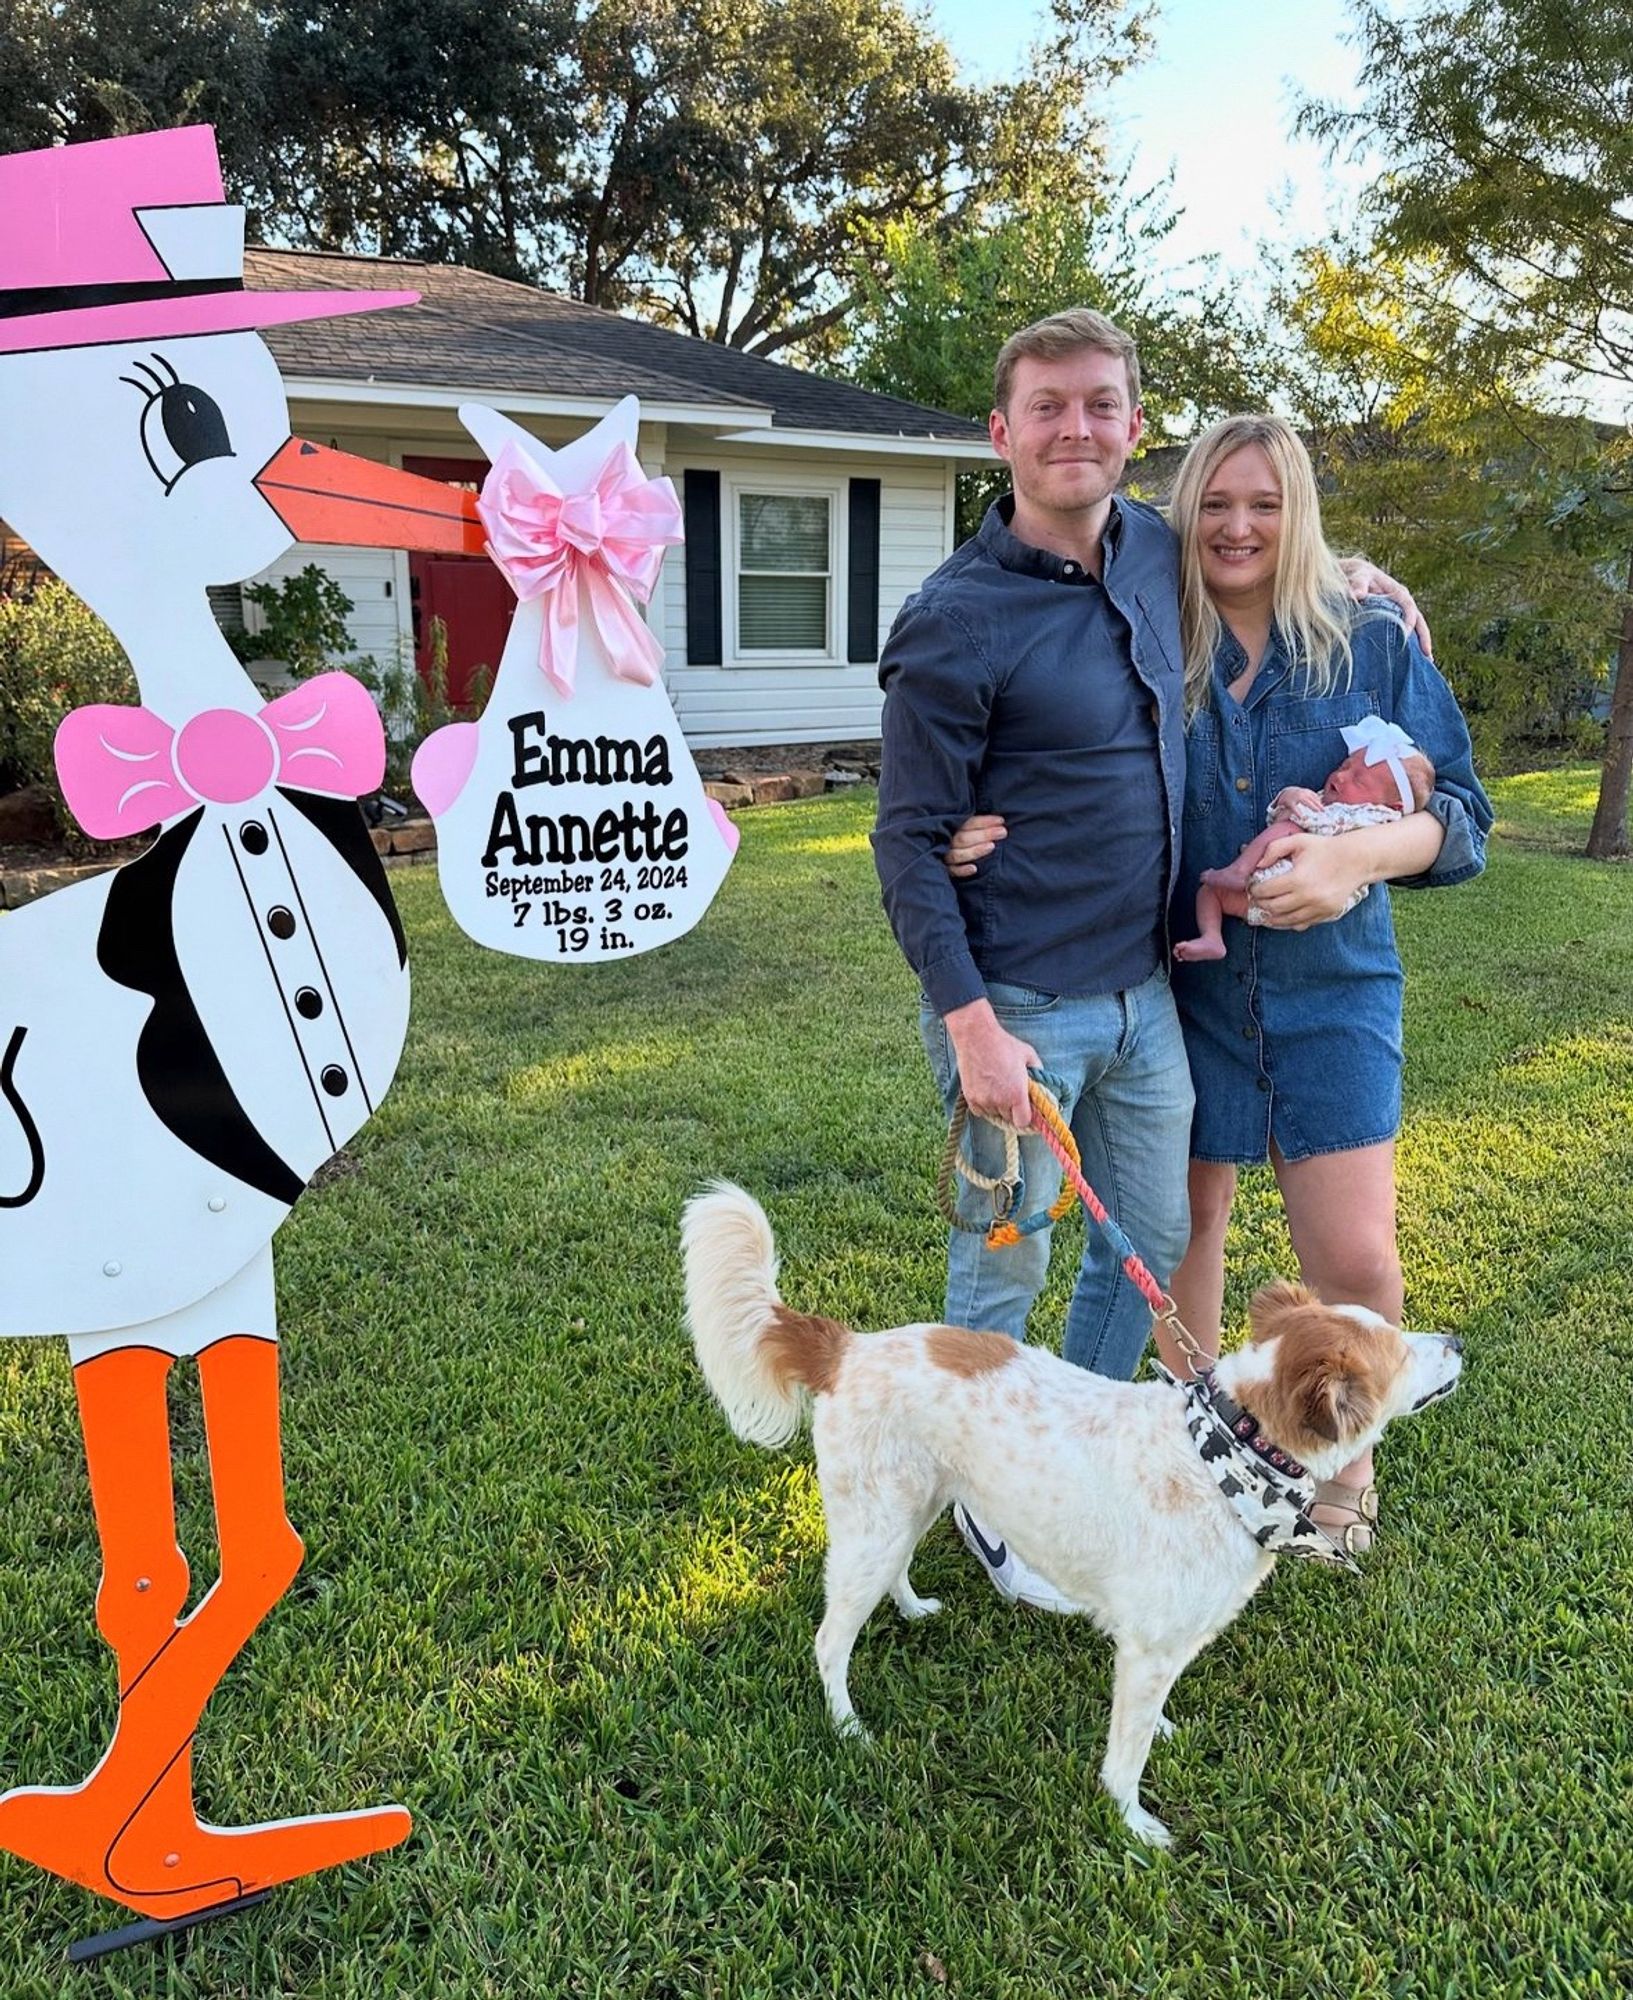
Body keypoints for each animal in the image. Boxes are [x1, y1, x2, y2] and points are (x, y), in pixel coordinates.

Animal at [680, 1176, 1464, 1848]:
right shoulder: (1150, 1646)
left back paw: (910, 1608)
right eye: (1398, 1351)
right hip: (871, 1524)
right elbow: (1125, 1756)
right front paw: (1134, 1826)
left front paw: (1162, 1733)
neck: (1228, 1455)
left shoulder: (1156, 1648)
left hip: (912, 1503)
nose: (1456, 1341)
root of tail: (848, 1347)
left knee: (892, 1573)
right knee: (828, 1642)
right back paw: (848, 1728)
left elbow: (1146, 1719)